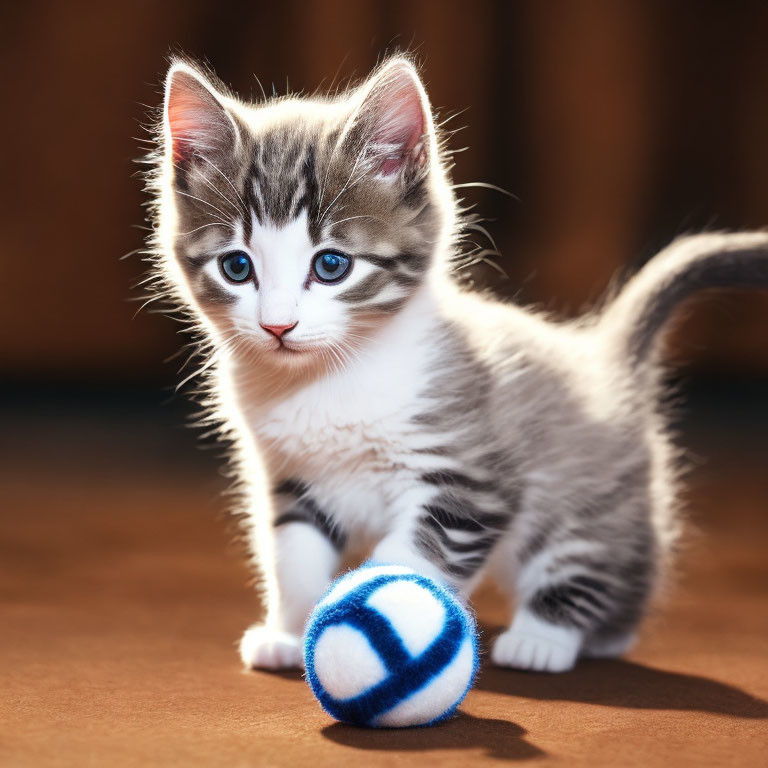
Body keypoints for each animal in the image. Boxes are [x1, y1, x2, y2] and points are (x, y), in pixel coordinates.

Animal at [147, 55, 768, 672]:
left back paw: (546, 638)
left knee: (599, 562)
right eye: (236, 267)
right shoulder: (290, 476)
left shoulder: (469, 481)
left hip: (585, 498)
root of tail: (603, 356)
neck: (329, 380)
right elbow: (293, 559)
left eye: (330, 266)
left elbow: (405, 561)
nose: (278, 326)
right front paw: (290, 631)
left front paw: (372, 635)